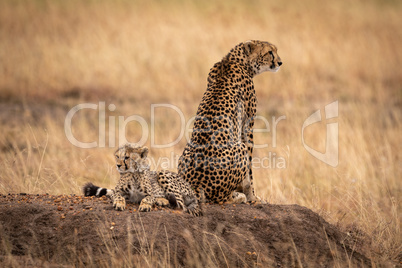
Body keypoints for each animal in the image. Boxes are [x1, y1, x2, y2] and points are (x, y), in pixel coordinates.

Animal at [177, 39, 282, 203]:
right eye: (270, 52)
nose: (280, 62)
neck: (234, 60)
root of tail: (196, 186)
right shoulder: (247, 124)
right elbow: (250, 170)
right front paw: (252, 196)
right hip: (239, 148)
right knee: (224, 199)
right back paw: (238, 197)